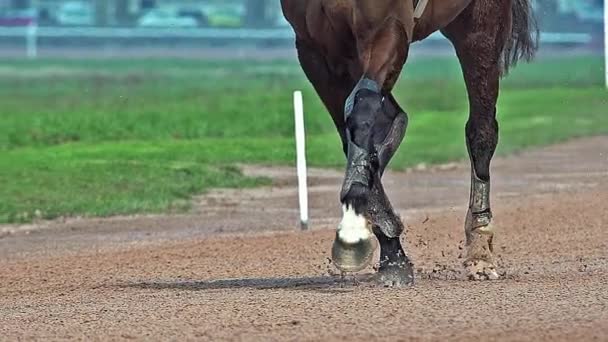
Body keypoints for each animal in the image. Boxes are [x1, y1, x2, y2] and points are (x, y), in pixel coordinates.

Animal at [280, 0, 536, 286]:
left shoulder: (387, 25)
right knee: (392, 117)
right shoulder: (317, 49)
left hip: (481, 25)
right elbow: (355, 130)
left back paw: (480, 250)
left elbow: (363, 107)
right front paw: (390, 252)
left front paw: (357, 223)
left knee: (482, 130)